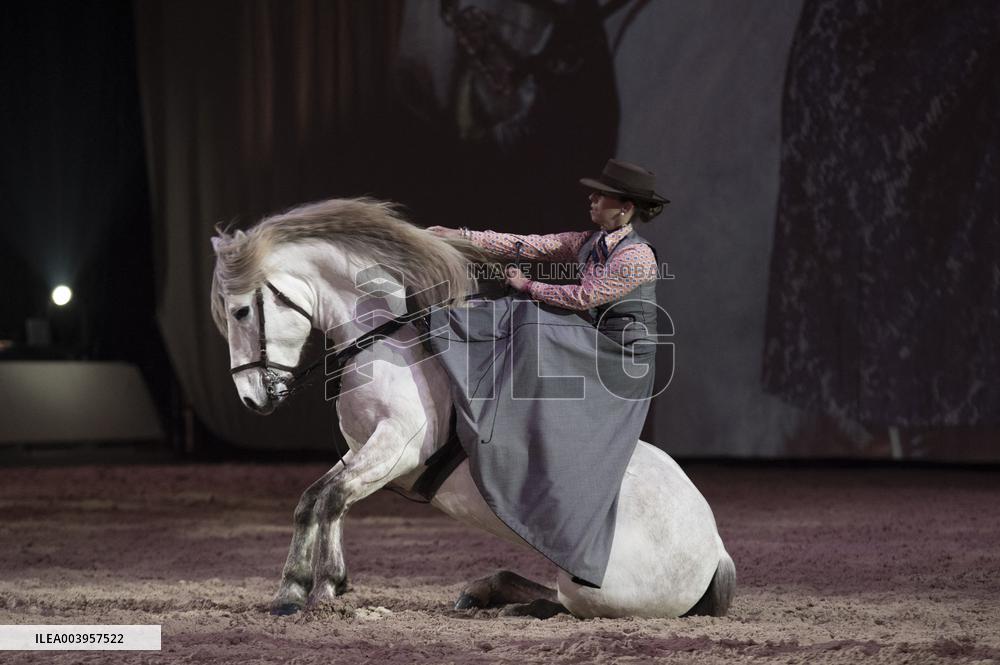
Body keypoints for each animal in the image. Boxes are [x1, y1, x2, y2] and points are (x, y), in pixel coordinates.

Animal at [210, 197, 736, 619]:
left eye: (241, 311)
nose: (253, 398)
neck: (387, 344)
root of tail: (715, 551)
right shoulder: (361, 448)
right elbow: (313, 500)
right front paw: (298, 590)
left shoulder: (396, 449)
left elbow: (332, 499)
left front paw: (319, 590)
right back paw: (483, 591)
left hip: (594, 590)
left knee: (565, 603)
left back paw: (512, 604)